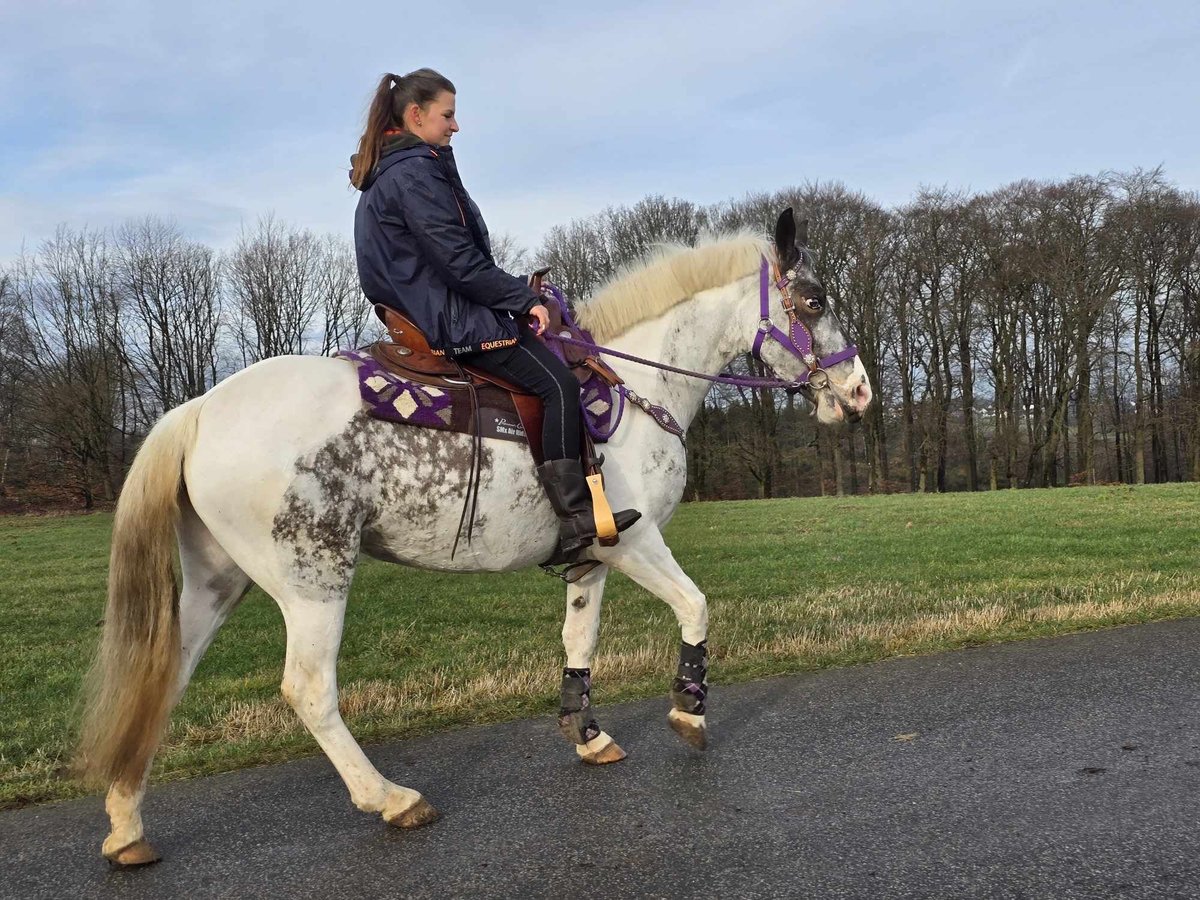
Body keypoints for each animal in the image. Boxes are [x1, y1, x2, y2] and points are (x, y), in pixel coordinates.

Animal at [79, 206, 878, 868]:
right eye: (814, 302)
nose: (862, 391)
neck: (634, 390)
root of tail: (200, 408)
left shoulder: (590, 559)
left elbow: (579, 641)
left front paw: (587, 734)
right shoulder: (633, 543)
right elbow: (696, 607)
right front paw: (688, 710)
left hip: (217, 581)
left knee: (165, 677)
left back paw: (126, 825)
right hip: (313, 579)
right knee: (308, 689)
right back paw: (390, 798)